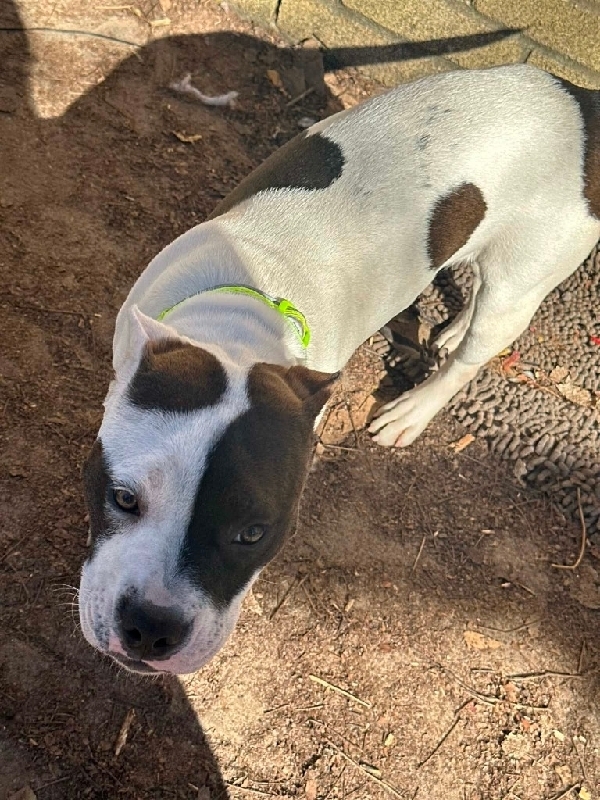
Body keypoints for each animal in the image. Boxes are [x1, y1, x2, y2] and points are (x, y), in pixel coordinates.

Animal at [79, 64, 600, 675]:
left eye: (253, 533)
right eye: (123, 498)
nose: (151, 627)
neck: (245, 315)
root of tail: (579, 97)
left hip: (522, 281)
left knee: (474, 352)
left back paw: (413, 409)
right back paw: (450, 331)